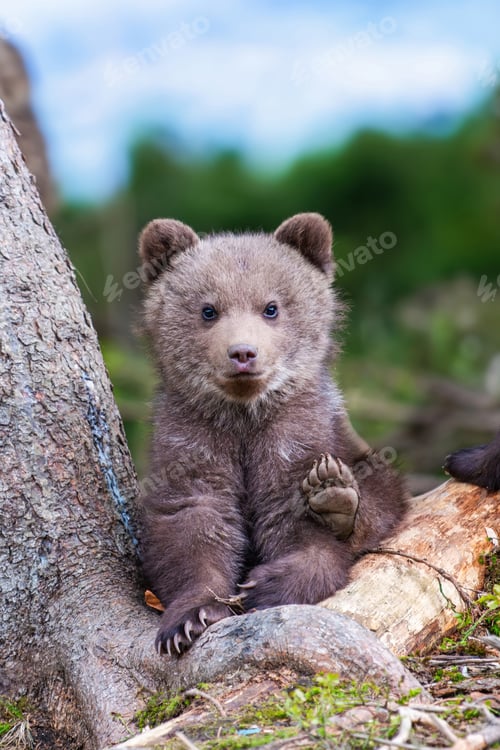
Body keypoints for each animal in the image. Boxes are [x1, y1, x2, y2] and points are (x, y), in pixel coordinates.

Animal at [137, 212, 408, 656]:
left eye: (271, 307)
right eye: (208, 309)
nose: (243, 352)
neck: (245, 416)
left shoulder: (296, 433)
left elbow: (295, 518)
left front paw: (269, 584)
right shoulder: (191, 438)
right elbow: (191, 522)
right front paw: (190, 617)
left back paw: (337, 495)